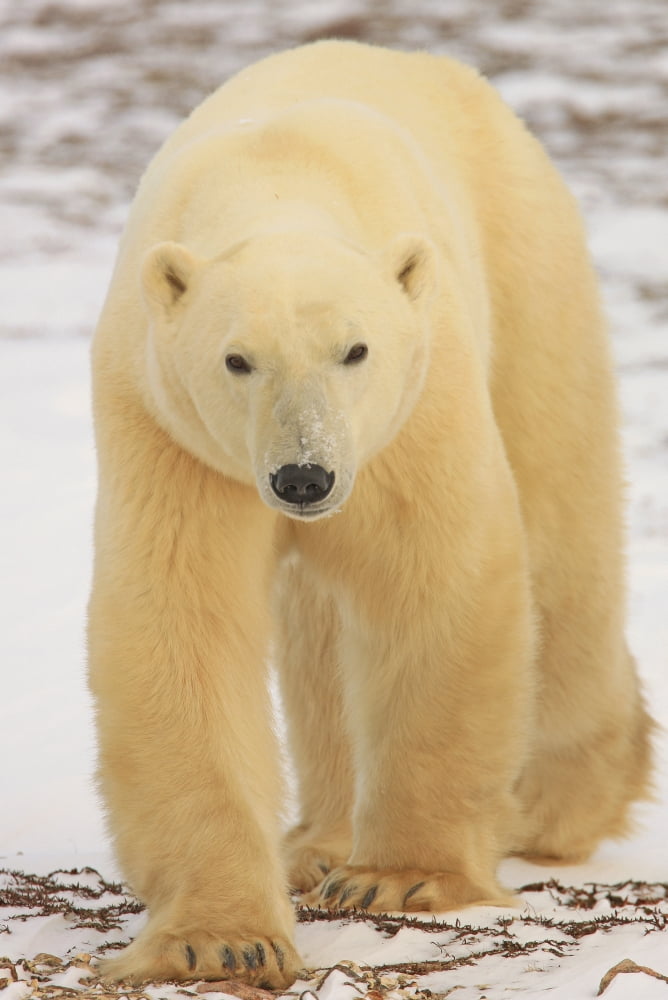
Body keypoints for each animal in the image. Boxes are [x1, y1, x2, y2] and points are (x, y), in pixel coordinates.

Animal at [88, 40, 654, 988]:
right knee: (317, 629)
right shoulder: (170, 431)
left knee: (560, 525)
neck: (277, 181)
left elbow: (435, 581)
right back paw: (321, 840)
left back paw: (557, 803)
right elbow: (181, 622)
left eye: (355, 349)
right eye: (236, 359)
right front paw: (219, 938)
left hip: (529, 273)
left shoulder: (413, 408)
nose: (303, 477)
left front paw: (402, 878)